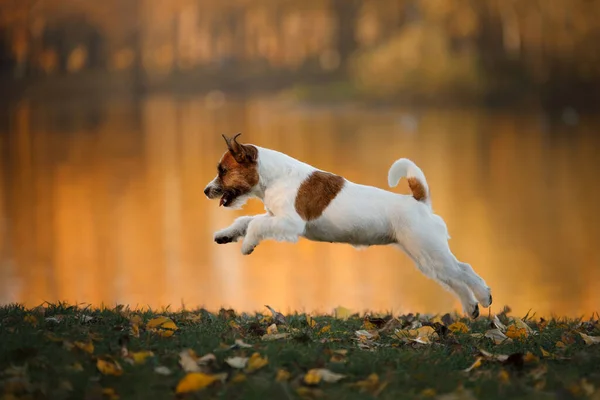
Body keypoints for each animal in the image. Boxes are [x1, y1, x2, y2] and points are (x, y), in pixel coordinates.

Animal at [204, 134, 494, 318]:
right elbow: (246, 220)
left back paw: (484, 296)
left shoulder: (290, 224)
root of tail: (420, 201)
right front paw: (226, 235)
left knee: (464, 270)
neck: (275, 176)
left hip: (431, 252)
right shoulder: (275, 218)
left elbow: (255, 224)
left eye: (223, 171)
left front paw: (247, 245)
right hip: (425, 259)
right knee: (454, 280)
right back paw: (471, 307)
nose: (206, 191)